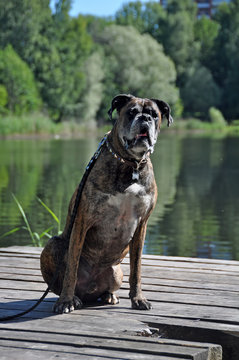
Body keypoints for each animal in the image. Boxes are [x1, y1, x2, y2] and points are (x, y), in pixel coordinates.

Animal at [40, 93, 172, 312]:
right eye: (131, 112)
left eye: (154, 114)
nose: (145, 119)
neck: (131, 164)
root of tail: (90, 290)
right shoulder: (82, 221)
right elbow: (71, 268)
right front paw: (65, 301)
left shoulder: (142, 225)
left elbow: (137, 269)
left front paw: (138, 298)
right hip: (52, 245)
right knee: (62, 279)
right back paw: (74, 298)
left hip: (116, 271)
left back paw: (109, 295)